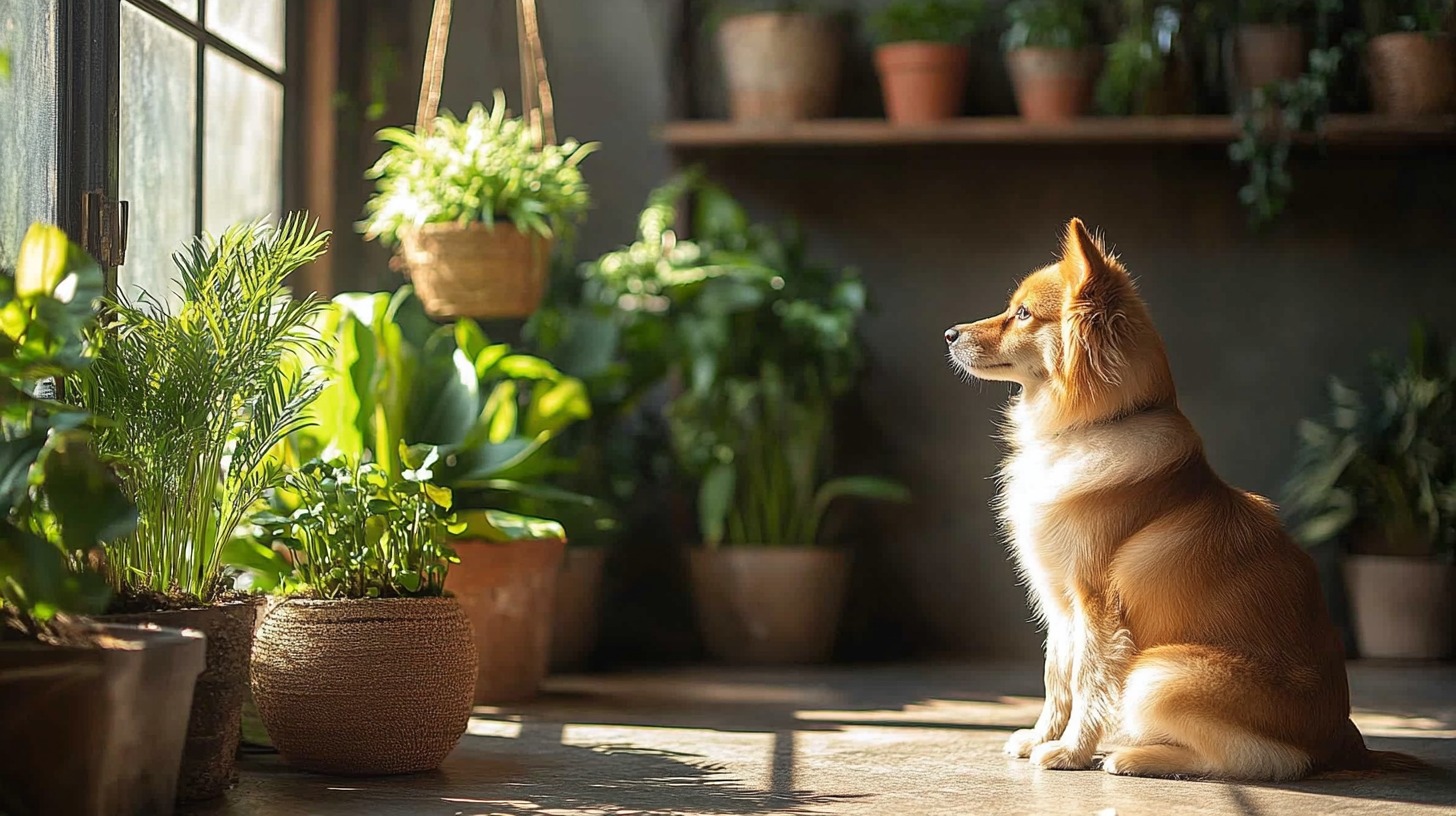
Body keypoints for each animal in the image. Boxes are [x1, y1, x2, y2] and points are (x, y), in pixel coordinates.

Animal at [943, 220, 1409, 781]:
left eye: (1024, 314)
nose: (948, 334)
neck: (1094, 425)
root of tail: (1345, 738)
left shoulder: (1096, 604)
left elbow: (1086, 682)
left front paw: (1069, 752)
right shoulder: (1060, 602)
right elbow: (1057, 676)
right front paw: (1041, 737)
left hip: (1157, 673)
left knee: (1265, 761)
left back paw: (1136, 756)